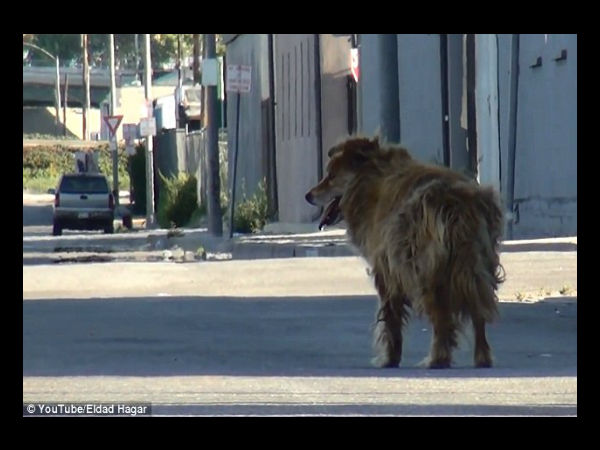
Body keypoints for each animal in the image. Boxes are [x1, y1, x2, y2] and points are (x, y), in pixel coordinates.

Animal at [304, 137, 506, 370]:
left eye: (331, 176)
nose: (308, 195)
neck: (369, 180)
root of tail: (457, 201)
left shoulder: (386, 271)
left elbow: (391, 320)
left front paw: (390, 359)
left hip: (428, 271)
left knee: (442, 318)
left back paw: (437, 358)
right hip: (478, 266)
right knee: (478, 313)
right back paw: (482, 358)